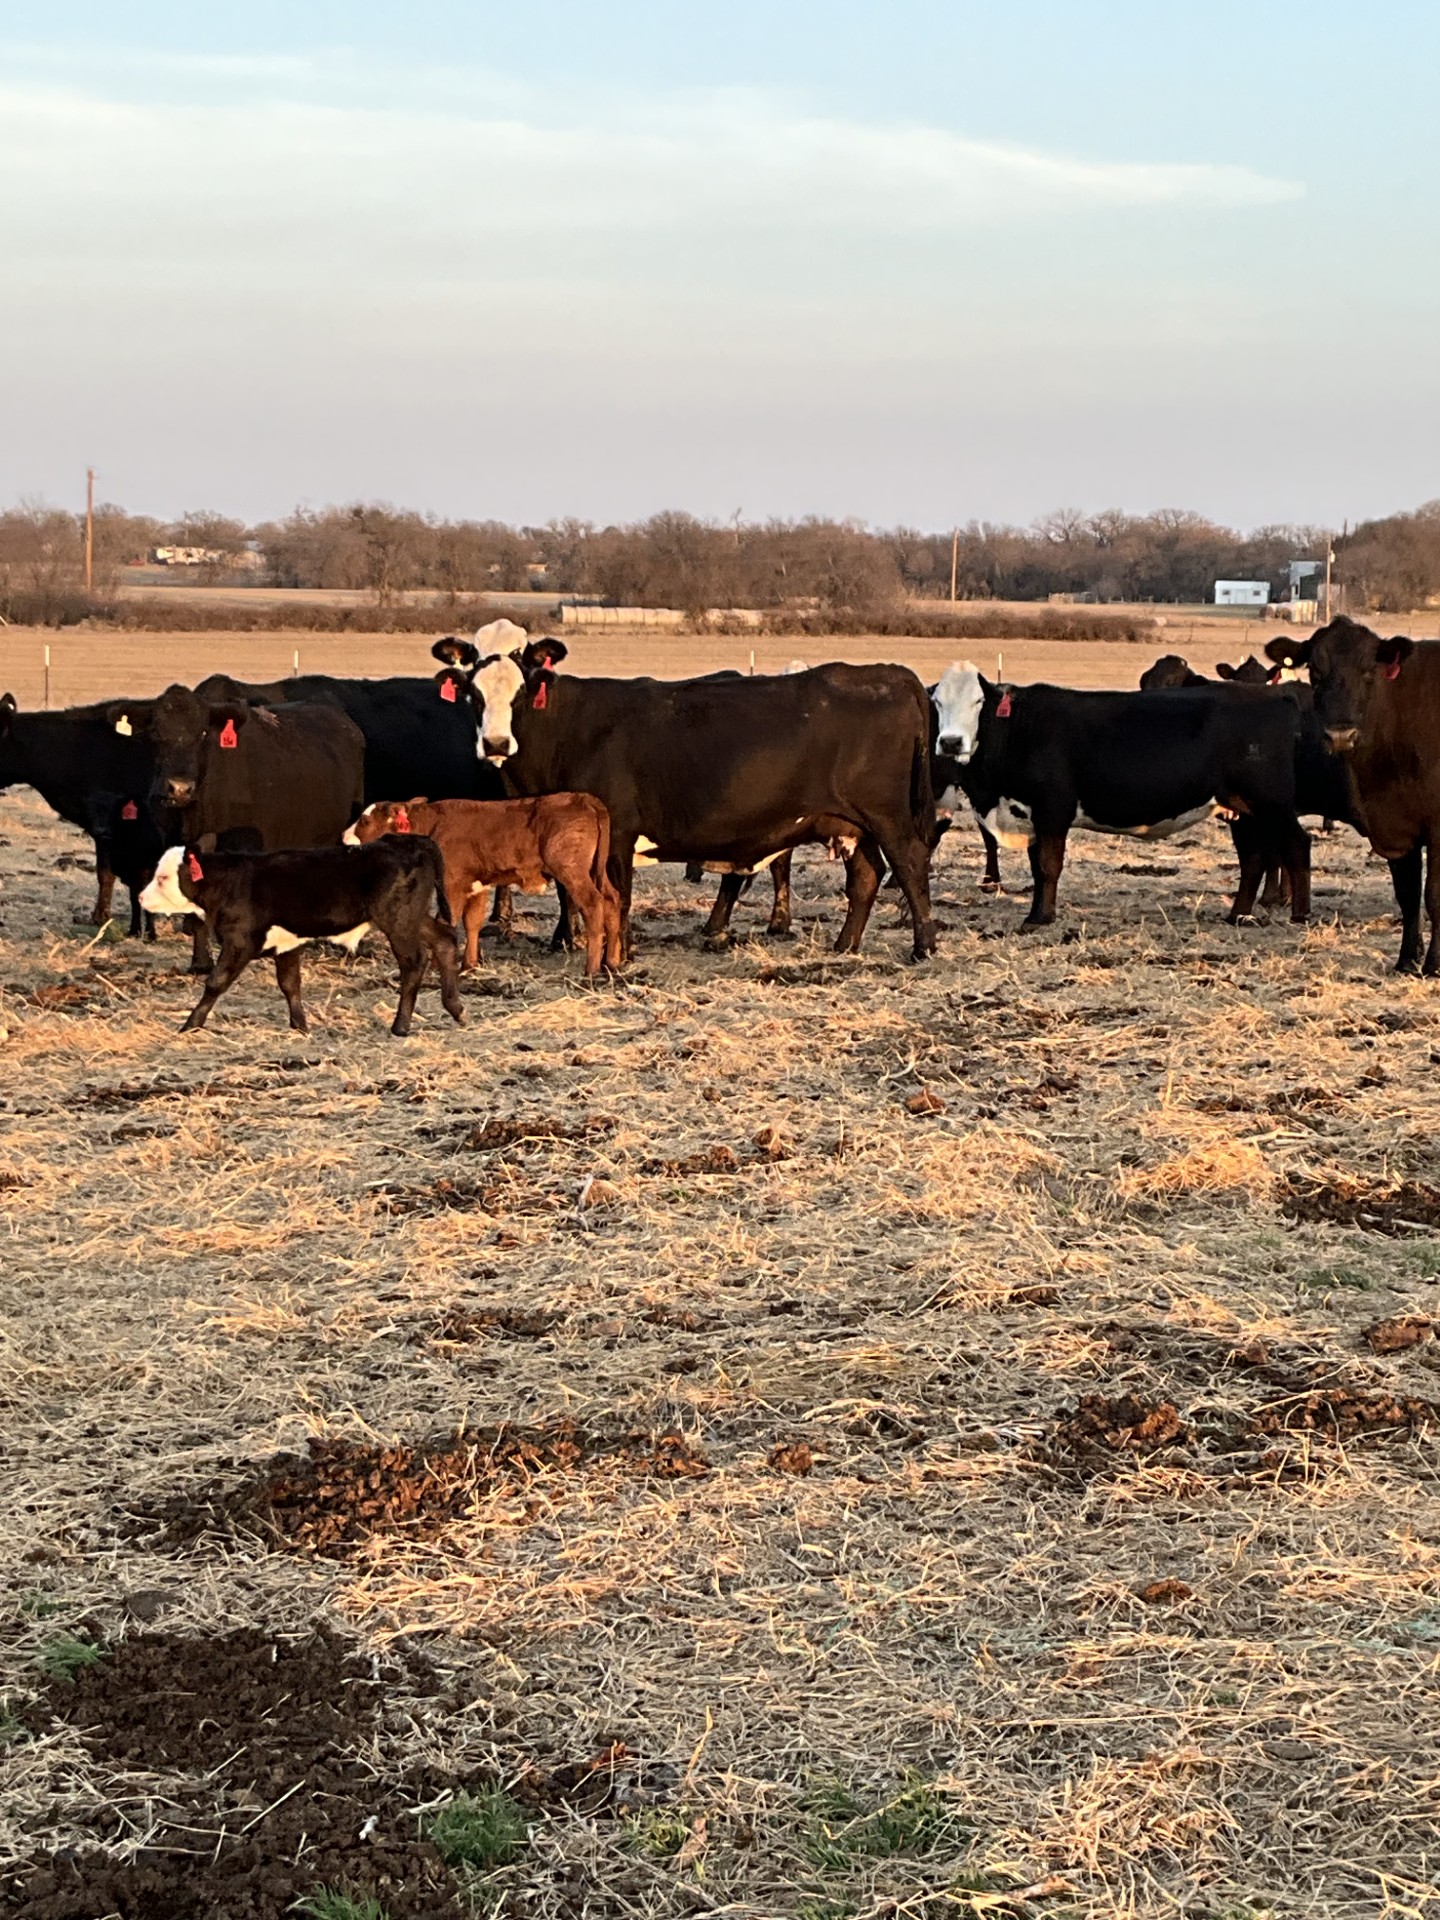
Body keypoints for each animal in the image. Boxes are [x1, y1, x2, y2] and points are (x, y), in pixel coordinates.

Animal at [139, 837, 464, 1035]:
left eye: (163, 877)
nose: (142, 897)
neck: (229, 883)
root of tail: (408, 841)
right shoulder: (286, 944)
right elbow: (290, 984)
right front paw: (300, 1026)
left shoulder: (240, 941)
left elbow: (215, 982)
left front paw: (190, 1024)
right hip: (413, 918)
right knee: (445, 940)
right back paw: (456, 1009)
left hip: (398, 922)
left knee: (415, 961)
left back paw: (401, 1025)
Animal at [345, 795, 623, 976]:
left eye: (364, 820)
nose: (344, 836)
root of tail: (585, 799)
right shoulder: (477, 885)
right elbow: (472, 922)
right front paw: (470, 964)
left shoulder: (452, 884)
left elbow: (447, 921)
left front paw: (438, 966)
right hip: (594, 871)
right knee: (612, 900)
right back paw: (612, 961)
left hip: (573, 871)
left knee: (593, 905)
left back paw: (591, 968)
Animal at [452, 638, 938, 961]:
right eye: (473, 694)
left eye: (519, 693)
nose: (495, 743)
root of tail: (889, 673)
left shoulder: (618, 832)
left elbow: (617, 896)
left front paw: (618, 957)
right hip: (853, 824)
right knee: (867, 876)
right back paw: (844, 946)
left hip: (888, 817)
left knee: (911, 863)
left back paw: (924, 946)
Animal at [939, 668, 1311, 927]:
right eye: (938, 703)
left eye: (979, 702)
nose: (951, 742)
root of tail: (1275, 695)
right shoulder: (1031, 815)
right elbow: (1037, 867)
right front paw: (1037, 913)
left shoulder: (1052, 809)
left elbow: (1048, 866)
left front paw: (1039, 919)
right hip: (1244, 810)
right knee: (1253, 858)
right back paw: (1237, 916)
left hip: (1271, 803)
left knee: (1297, 843)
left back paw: (1300, 914)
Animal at [1266, 616, 1437, 972]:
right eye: (1315, 673)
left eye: (1369, 671)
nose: (1340, 735)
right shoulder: (1392, 828)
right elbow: (1408, 895)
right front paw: (1406, 960)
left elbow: (1434, 895)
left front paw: (1434, 965)